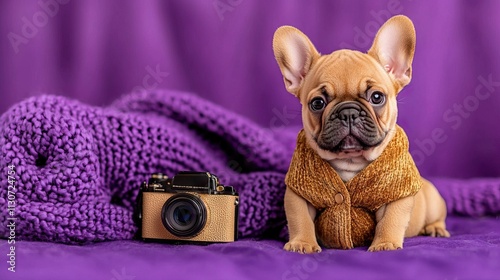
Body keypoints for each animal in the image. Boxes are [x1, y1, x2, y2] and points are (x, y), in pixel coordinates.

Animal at [274, 14, 450, 254]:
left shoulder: (396, 194)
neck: (350, 161)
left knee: (437, 216)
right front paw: (302, 243)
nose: (348, 112)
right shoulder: (298, 192)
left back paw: (435, 228)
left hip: (433, 201)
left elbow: (390, 220)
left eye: (377, 97)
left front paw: (385, 244)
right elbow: (299, 218)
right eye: (317, 103)